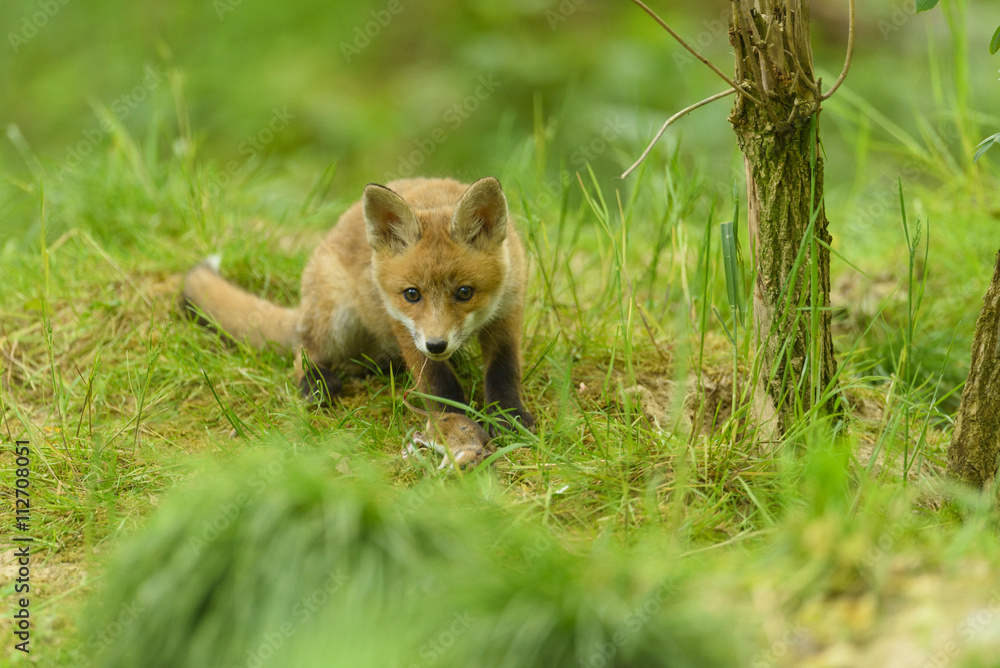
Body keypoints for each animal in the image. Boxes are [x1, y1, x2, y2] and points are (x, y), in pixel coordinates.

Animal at [181, 176, 534, 432]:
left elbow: (504, 371)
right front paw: (453, 421)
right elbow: (438, 381)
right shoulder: (402, 323)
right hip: (334, 320)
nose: (437, 345)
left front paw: (508, 418)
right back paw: (316, 382)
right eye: (411, 294)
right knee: (303, 349)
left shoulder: (508, 311)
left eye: (464, 292)